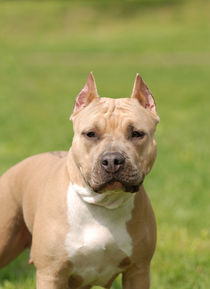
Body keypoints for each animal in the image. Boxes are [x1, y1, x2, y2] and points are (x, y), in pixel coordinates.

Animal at [0, 72, 159, 288]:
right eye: (90, 134)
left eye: (136, 134)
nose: (112, 160)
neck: (103, 204)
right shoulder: (51, 273)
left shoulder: (138, 270)